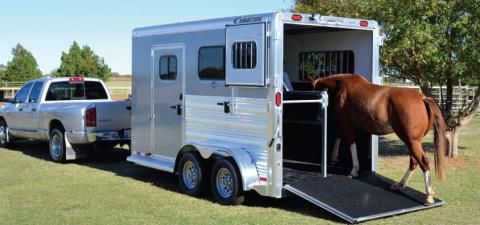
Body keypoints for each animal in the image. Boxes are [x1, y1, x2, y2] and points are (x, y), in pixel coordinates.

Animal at [310, 74, 448, 205]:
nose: (316, 117)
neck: (344, 84)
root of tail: (423, 98)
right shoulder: (346, 124)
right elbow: (339, 136)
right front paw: (334, 157)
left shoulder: (347, 123)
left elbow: (351, 143)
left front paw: (354, 170)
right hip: (412, 142)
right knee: (414, 162)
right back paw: (399, 185)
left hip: (412, 141)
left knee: (423, 162)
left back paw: (428, 196)